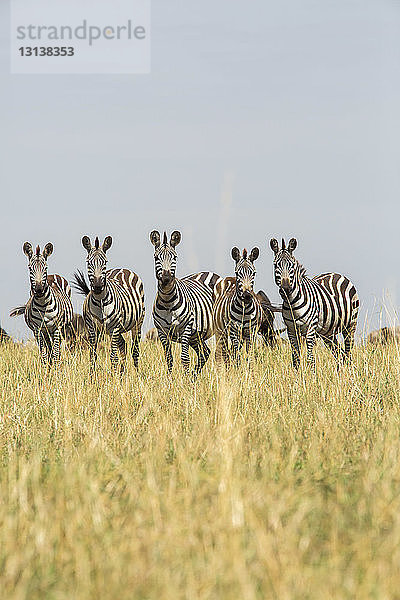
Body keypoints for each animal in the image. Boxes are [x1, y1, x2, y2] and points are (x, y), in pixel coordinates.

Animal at [72, 236, 145, 372]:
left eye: (104, 263)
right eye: (88, 263)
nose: (97, 287)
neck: (100, 300)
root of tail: (123, 269)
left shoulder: (114, 328)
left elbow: (113, 357)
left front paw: (113, 376)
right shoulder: (92, 328)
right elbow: (93, 356)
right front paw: (92, 376)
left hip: (137, 323)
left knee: (135, 350)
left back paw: (137, 374)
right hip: (119, 330)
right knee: (124, 347)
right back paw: (122, 374)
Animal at [150, 230, 222, 376]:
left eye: (174, 258)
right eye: (156, 258)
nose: (166, 279)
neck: (167, 301)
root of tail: (211, 273)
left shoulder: (186, 328)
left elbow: (184, 358)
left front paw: (185, 379)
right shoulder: (161, 331)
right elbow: (169, 358)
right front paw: (170, 379)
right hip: (196, 336)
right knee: (205, 353)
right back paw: (194, 376)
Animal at [268, 237, 360, 368]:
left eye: (292, 266)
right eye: (276, 265)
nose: (285, 289)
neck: (292, 303)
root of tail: (336, 274)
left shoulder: (310, 328)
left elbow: (310, 359)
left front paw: (312, 373)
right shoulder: (291, 330)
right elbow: (295, 359)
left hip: (350, 325)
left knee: (348, 352)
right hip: (327, 333)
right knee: (339, 353)